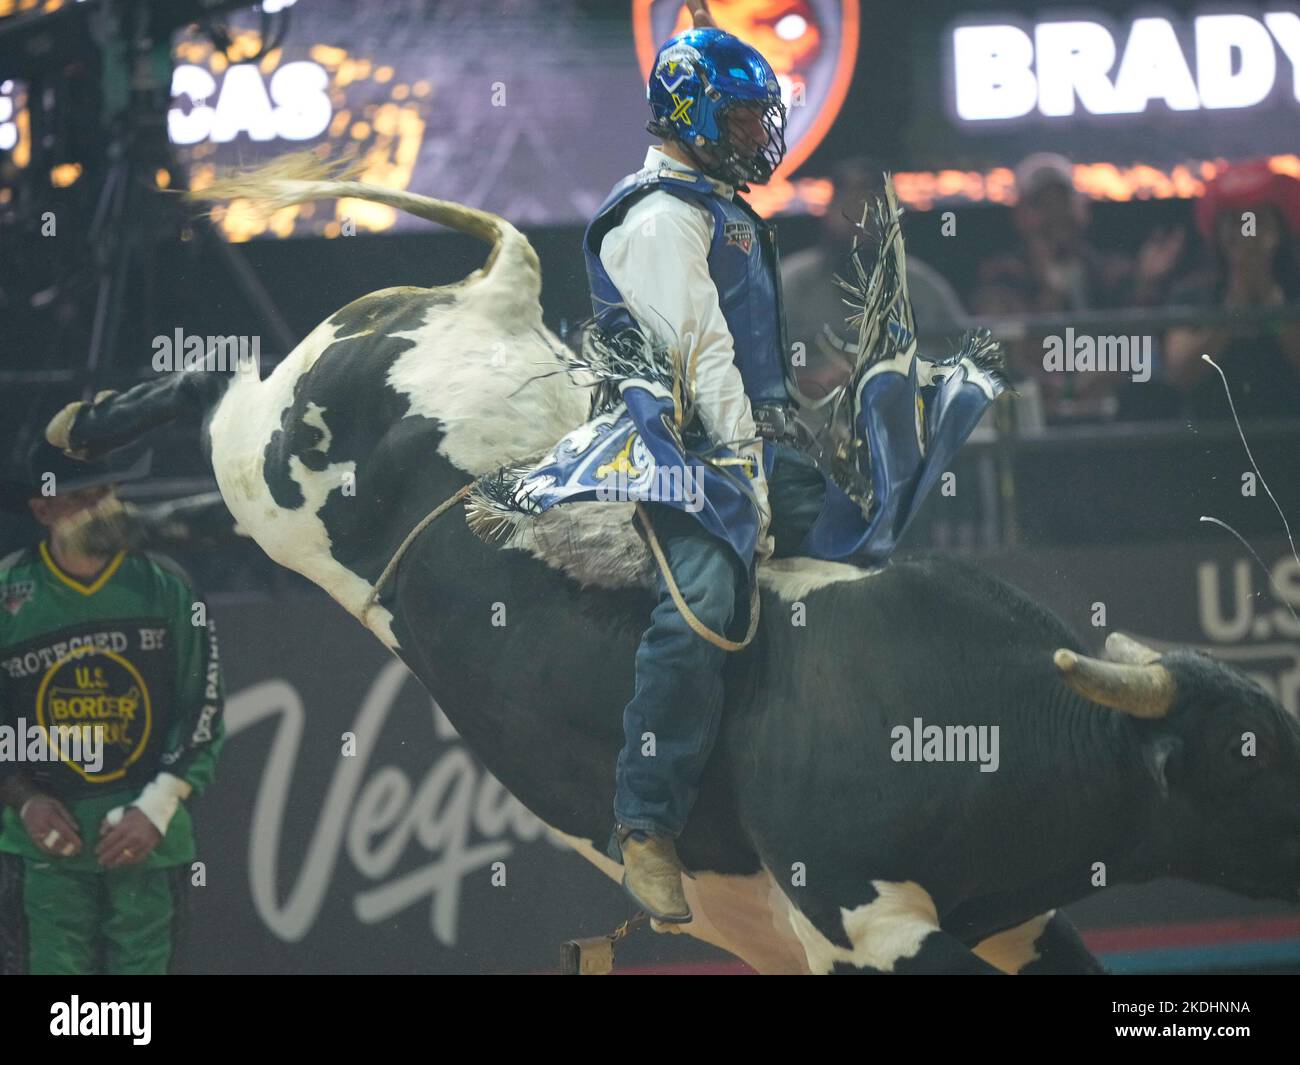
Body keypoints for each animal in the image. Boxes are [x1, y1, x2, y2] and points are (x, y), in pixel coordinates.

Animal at [40, 156, 1300, 972]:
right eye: (1246, 759)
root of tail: (498, 299)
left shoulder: (1016, 922)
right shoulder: (869, 920)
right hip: (270, 480)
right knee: (216, 385)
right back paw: (84, 429)